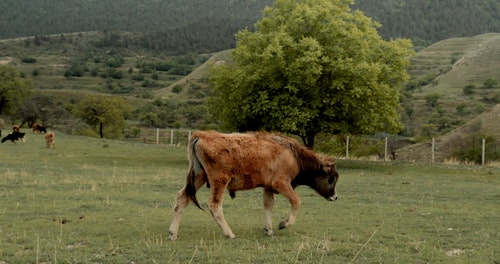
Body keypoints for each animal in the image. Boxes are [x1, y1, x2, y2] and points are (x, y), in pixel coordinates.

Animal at [169, 131, 340, 240]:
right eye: (331, 179)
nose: (335, 196)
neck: (292, 155)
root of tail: (201, 135)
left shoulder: (268, 186)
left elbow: (268, 206)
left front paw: (268, 230)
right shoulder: (281, 183)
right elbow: (296, 201)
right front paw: (283, 224)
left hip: (199, 177)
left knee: (182, 198)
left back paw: (172, 234)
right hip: (219, 181)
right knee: (214, 204)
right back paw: (229, 234)